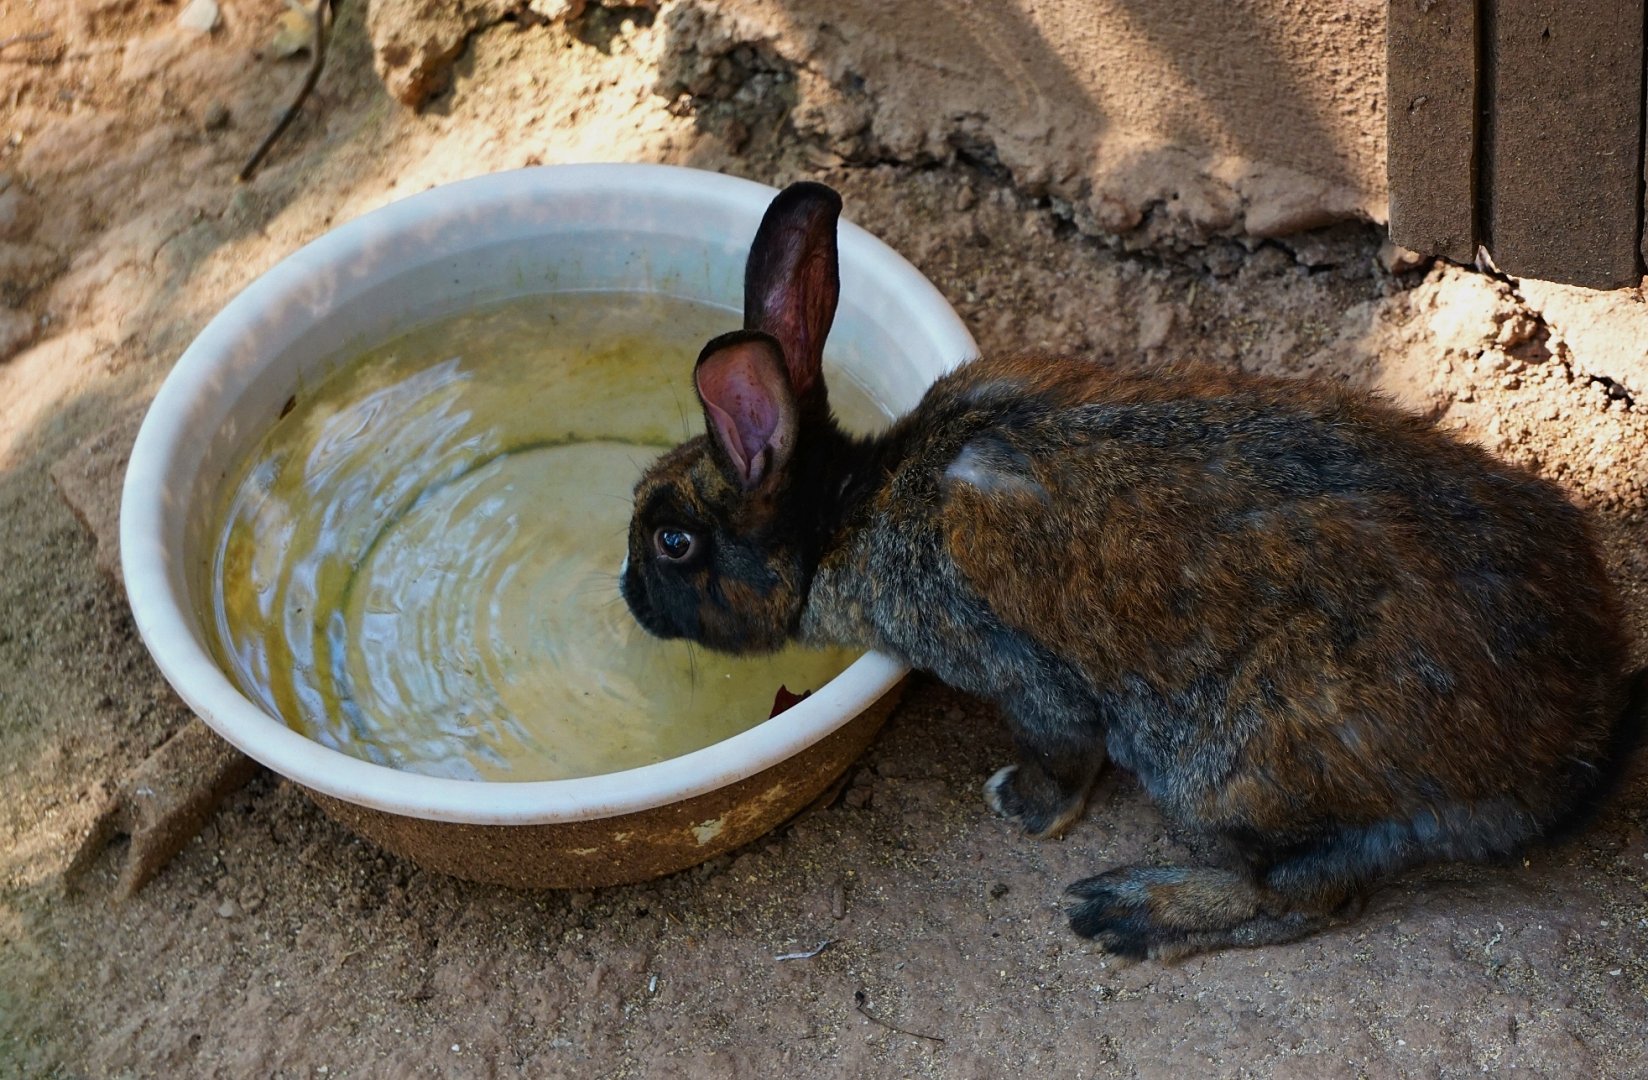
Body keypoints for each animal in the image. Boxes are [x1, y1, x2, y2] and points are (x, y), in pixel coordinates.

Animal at [620, 180, 1646, 959]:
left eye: (672, 543)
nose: (626, 596)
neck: (848, 511)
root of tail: (1579, 744)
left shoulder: (1015, 668)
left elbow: (1064, 749)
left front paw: (1021, 807)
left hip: (1231, 770)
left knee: (1307, 898)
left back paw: (1128, 912)